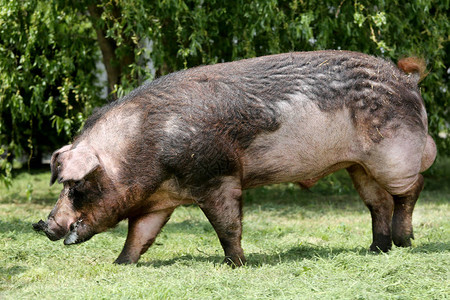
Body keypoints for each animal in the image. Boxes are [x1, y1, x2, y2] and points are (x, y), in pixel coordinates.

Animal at [32, 50, 436, 266]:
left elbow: (227, 225)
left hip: (394, 155)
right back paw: (376, 249)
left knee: (413, 188)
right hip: (359, 166)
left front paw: (235, 264)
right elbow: (140, 236)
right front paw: (119, 264)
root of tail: (408, 80)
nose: (45, 225)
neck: (140, 149)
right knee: (378, 202)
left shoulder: (218, 176)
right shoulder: (157, 201)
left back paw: (405, 241)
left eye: (76, 186)